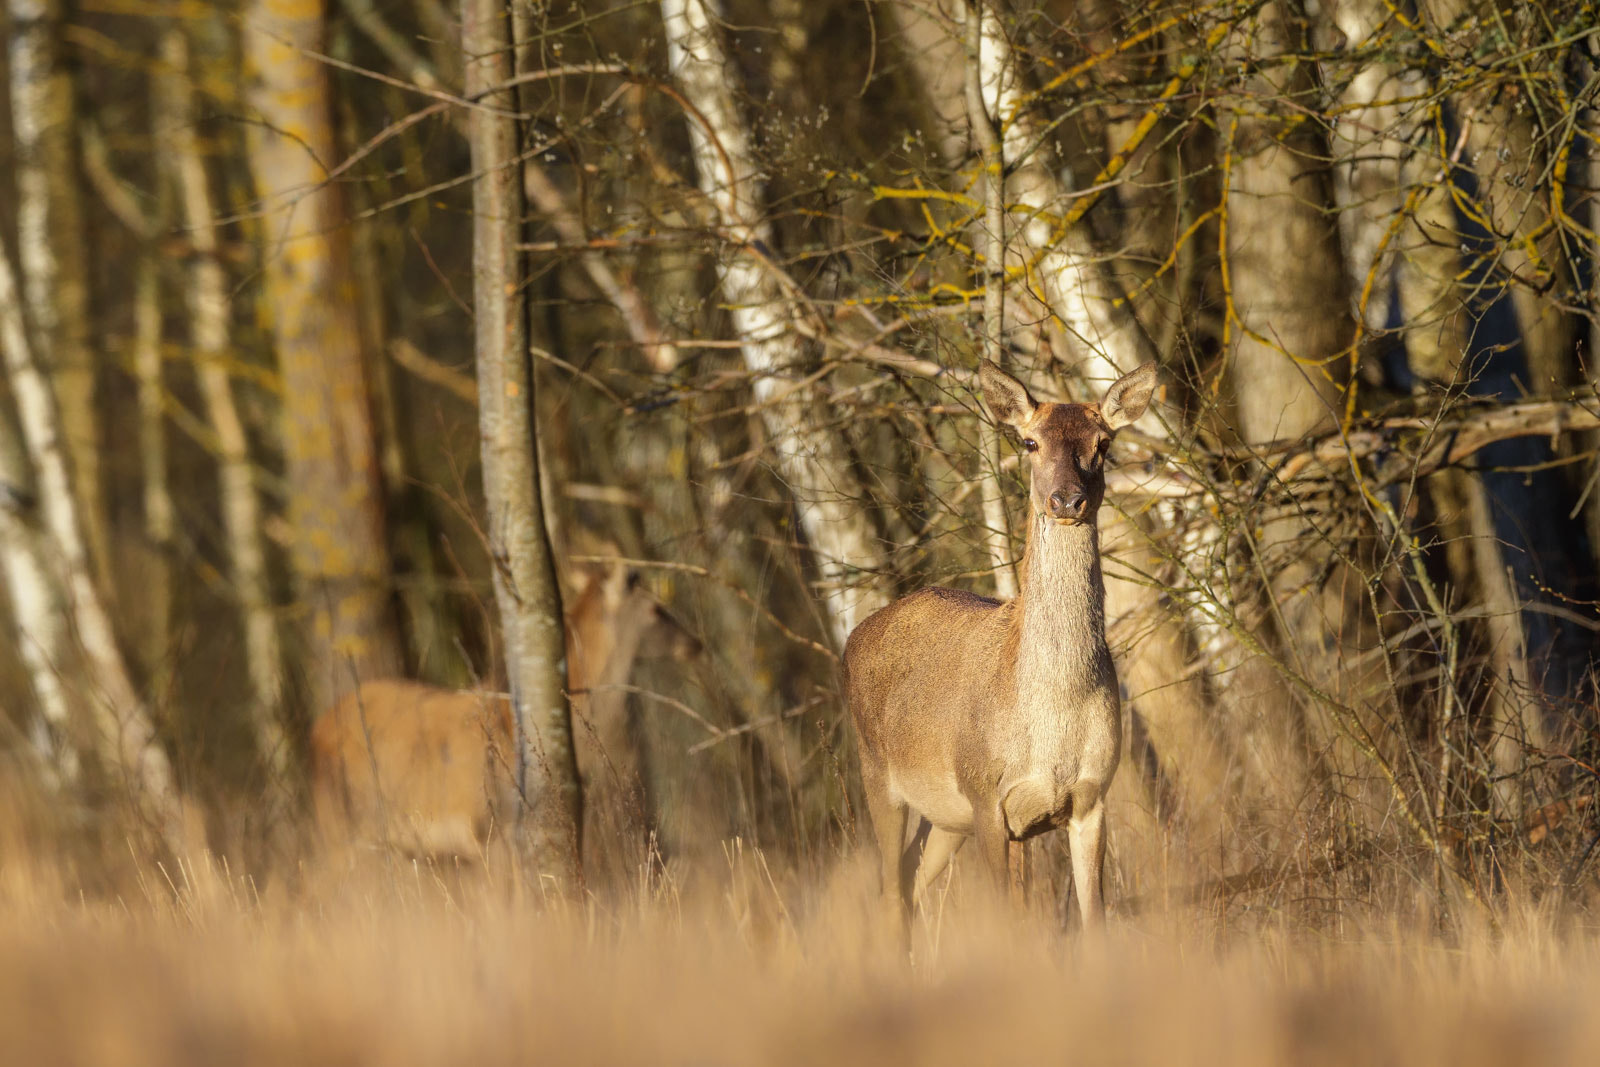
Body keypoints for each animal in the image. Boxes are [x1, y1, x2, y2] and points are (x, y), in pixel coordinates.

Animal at [844, 361, 1158, 940]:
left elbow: (1093, 922)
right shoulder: (987, 796)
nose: (1066, 499)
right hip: (878, 774)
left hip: (946, 819)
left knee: (909, 887)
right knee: (892, 896)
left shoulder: (1091, 797)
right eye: (1030, 441)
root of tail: (854, 637)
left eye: (1103, 443)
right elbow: (1011, 928)